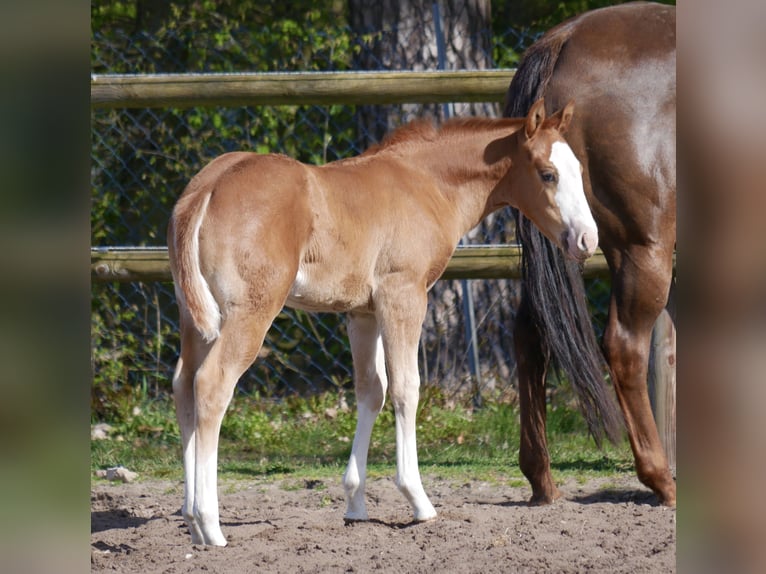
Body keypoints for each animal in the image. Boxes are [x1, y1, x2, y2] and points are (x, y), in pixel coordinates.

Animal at [168, 99, 596, 546]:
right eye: (547, 174)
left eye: (579, 170)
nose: (587, 239)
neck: (426, 183)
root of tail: (207, 187)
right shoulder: (403, 295)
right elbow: (407, 388)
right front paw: (418, 500)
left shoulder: (362, 312)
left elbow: (372, 390)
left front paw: (355, 504)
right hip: (250, 312)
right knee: (212, 385)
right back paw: (209, 524)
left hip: (195, 318)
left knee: (183, 385)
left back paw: (189, 517)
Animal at [503, 2, 676, 507]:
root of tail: (565, 39)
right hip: (643, 250)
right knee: (624, 345)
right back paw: (661, 478)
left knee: (530, 334)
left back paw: (540, 477)